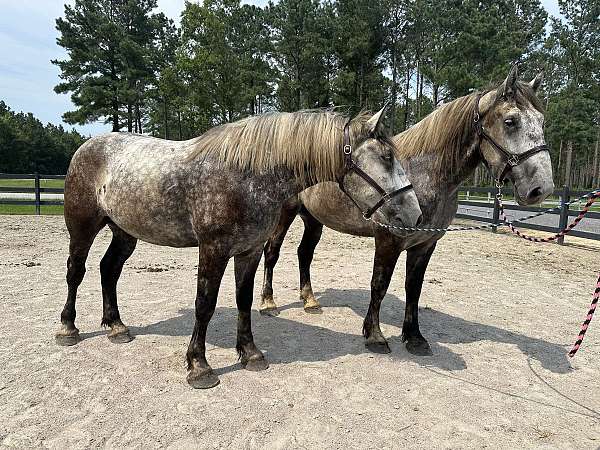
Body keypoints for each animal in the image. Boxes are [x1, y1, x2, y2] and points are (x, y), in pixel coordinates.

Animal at [260, 66, 556, 356]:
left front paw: (414, 337)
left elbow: (414, 288)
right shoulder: (389, 239)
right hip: (285, 214)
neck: (424, 173)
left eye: (542, 121)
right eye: (510, 121)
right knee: (272, 252)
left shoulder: (425, 244)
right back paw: (268, 303)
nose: (541, 189)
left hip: (313, 218)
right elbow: (379, 284)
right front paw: (375, 336)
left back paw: (309, 300)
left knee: (304, 253)